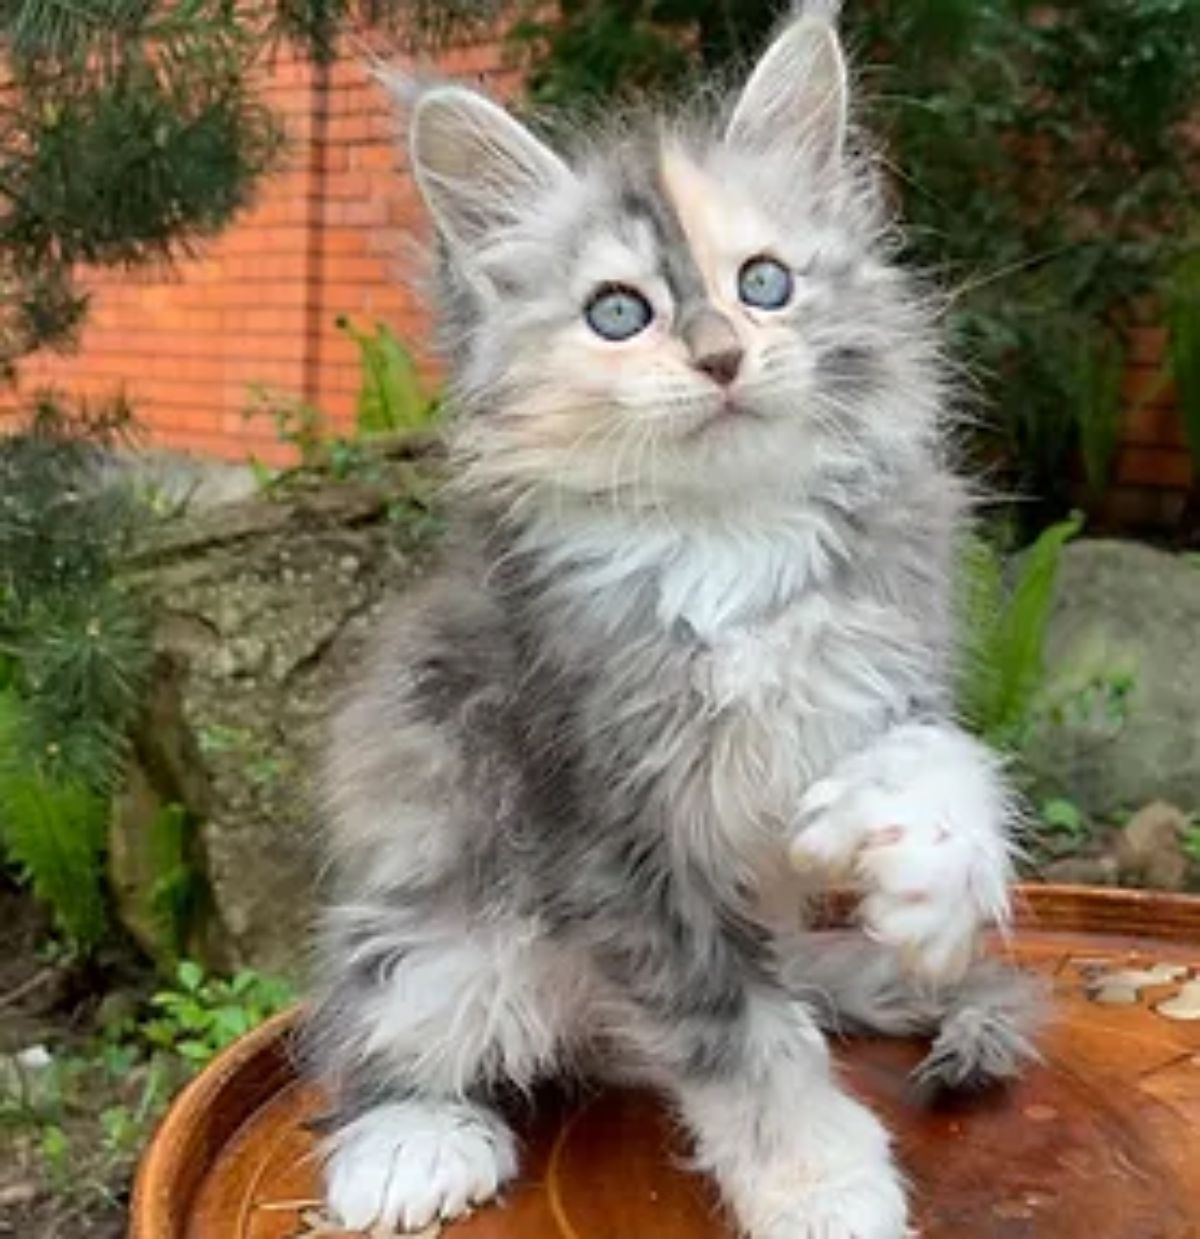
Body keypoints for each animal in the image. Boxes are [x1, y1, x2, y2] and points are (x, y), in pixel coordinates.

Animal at [307, 12, 1040, 1239]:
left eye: (766, 282)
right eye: (619, 312)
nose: (722, 354)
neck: (729, 536)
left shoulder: (886, 663)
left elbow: (946, 757)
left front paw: (930, 880)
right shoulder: (606, 834)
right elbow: (739, 1038)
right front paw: (821, 1186)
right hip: (442, 928)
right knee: (373, 1022)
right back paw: (409, 1141)